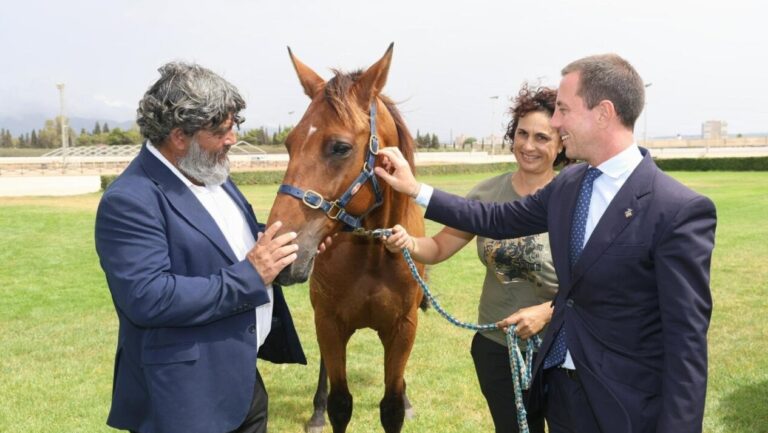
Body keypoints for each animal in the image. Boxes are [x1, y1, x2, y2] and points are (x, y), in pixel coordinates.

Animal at [266, 44, 426, 433]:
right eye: (289, 144)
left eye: (339, 147)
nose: (280, 253)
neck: (371, 251)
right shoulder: (329, 323)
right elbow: (341, 403)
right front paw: (324, 410)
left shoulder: (403, 328)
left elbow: (392, 405)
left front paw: (404, 403)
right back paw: (316, 411)